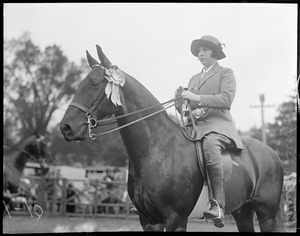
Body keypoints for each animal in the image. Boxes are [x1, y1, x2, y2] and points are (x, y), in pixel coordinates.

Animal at [59, 45, 284, 231]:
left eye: (94, 83)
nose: (66, 127)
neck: (156, 151)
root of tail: (272, 153)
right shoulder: (148, 220)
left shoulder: (176, 219)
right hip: (242, 211)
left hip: (266, 213)